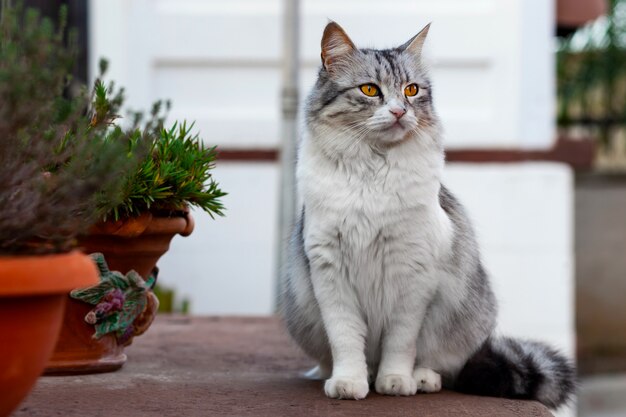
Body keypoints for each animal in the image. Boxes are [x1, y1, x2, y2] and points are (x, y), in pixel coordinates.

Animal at [280, 21, 576, 408]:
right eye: (370, 90)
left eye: (412, 90)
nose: (399, 112)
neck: (372, 168)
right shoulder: (330, 272)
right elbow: (345, 340)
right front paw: (349, 383)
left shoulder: (414, 275)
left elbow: (400, 343)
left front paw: (395, 381)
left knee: (440, 365)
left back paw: (421, 379)